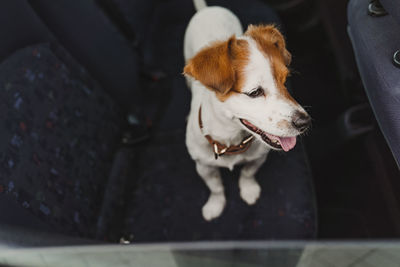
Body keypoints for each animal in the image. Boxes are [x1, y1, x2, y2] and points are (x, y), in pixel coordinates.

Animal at [183, 0, 310, 222]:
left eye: (285, 81)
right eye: (255, 92)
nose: (305, 123)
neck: (231, 141)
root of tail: (207, 10)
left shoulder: (258, 158)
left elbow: (247, 173)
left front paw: (249, 190)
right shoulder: (204, 167)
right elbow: (216, 187)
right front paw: (215, 205)